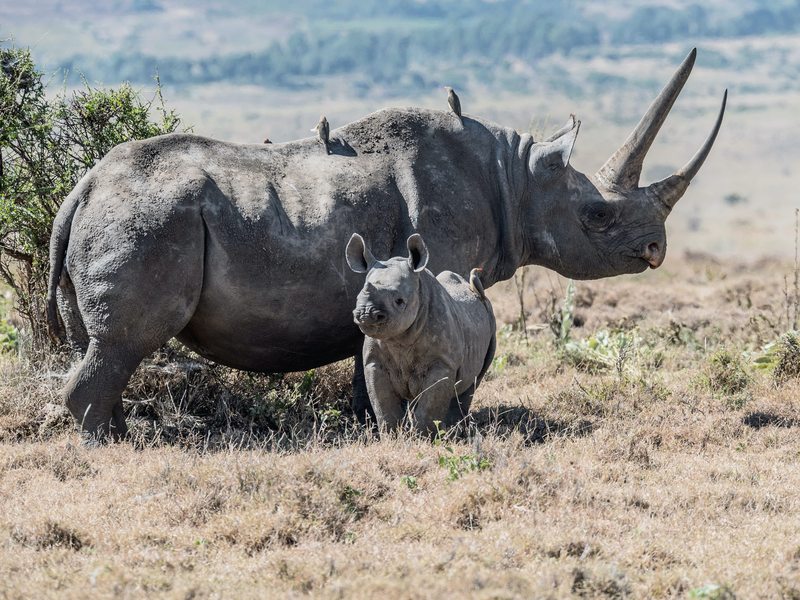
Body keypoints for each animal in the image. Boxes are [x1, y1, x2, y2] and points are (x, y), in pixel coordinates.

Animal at [346, 233, 496, 432]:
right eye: (357, 298)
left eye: (399, 301)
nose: (365, 314)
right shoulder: (374, 361)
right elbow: (384, 407)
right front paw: (392, 435)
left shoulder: (443, 363)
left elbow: (429, 409)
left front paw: (422, 437)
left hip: (491, 323)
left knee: (471, 383)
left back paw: (453, 431)